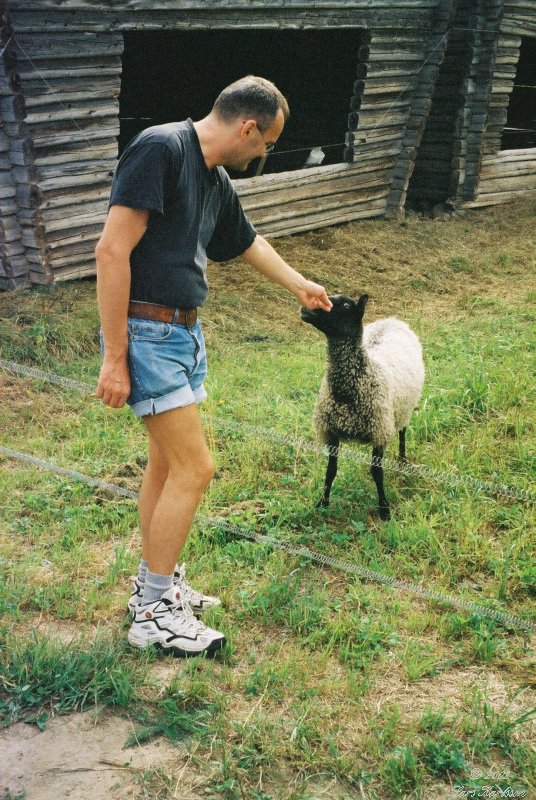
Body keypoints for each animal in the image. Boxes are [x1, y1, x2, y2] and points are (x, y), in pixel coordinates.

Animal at [302, 292, 422, 520]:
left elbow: (378, 472)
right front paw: (323, 503)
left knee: (402, 431)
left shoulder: (379, 431)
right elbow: (331, 470)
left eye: (347, 305)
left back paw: (403, 459)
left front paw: (384, 509)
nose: (305, 308)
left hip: (403, 409)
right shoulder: (332, 431)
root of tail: (392, 320)